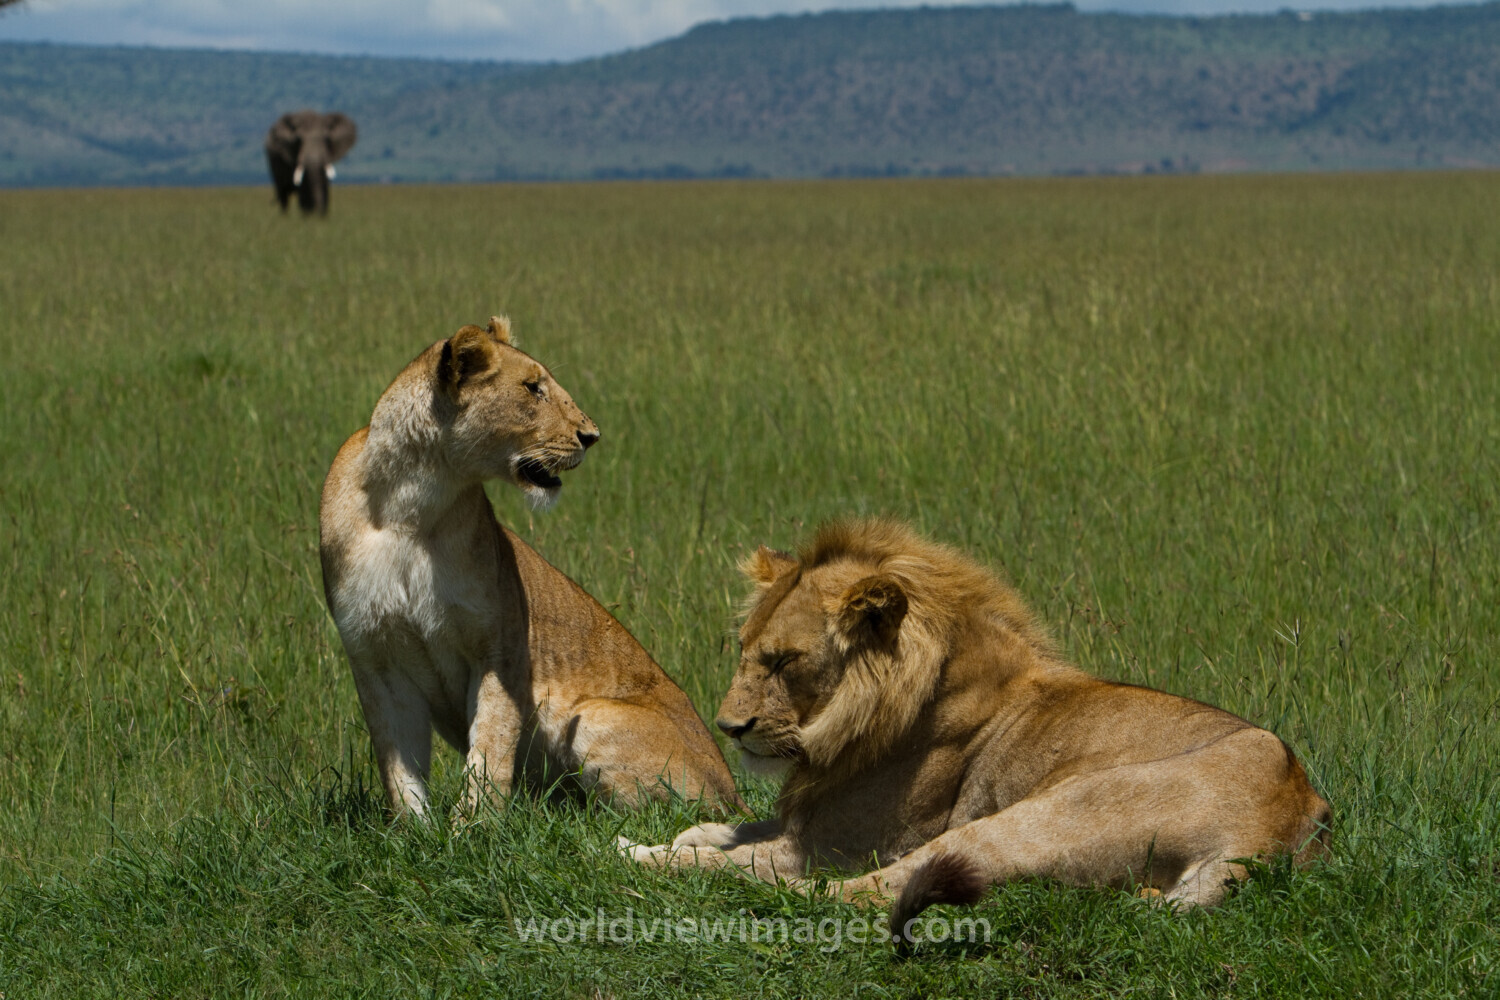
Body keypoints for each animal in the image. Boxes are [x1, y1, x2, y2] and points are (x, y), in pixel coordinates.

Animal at [319, 316, 742, 820]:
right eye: (532, 388)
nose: (592, 436)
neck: (413, 502)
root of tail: (736, 794)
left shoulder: (500, 649)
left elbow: (490, 748)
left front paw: (472, 829)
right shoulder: (374, 657)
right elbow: (399, 769)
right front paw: (418, 833)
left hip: (594, 715)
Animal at [624, 518, 1330, 939]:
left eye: (785, 660)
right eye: (744, 649)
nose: (728, 727)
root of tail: (1290, 818)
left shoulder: (831, 845)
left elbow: (753, 853)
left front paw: (660, 851)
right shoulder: (806, 818)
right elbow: (736, 827)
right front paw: (686, 834)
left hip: (1040, 814)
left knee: (855, 893)